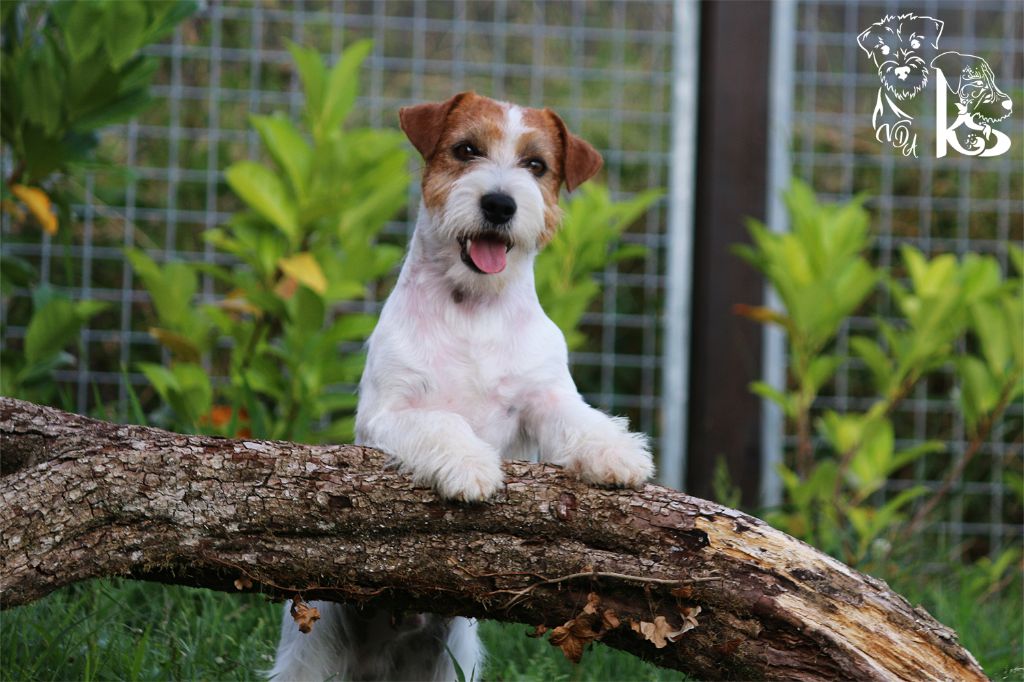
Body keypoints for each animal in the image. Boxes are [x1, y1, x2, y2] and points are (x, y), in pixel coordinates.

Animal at [270, 91, 655, 679]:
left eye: (536, 164)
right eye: (467, 150)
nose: (499, 204)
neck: (473, 307)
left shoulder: (545, 396)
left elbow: (579, 417)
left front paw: (616, 454)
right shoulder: (390, 412)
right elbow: (444, 420)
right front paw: (471, 467)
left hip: (450, 660)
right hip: (312, 654)